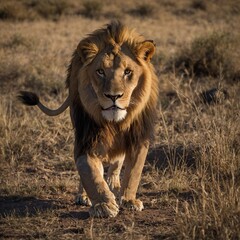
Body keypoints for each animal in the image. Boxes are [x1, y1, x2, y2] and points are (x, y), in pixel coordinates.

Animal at [18, 21, 158, 218]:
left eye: (128, 72)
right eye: (100, 71)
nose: (113, 96)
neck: (115, 123)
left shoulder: (138, 137)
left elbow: (134, 172)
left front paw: (129, 200)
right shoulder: (86, 139)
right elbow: (90, 173)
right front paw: (103, 204)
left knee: (117, 161)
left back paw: (114, 183)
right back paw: (84, 196)